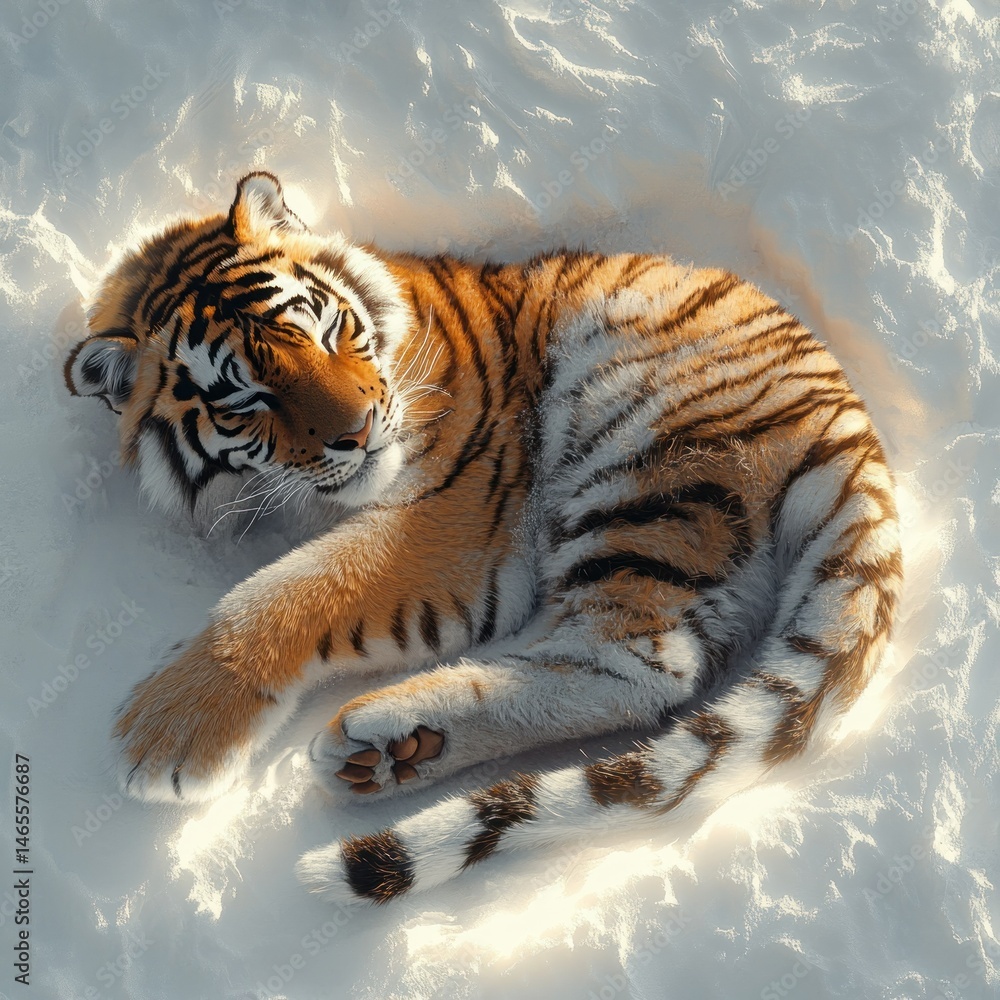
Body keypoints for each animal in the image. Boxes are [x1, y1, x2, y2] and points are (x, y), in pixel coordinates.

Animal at [64, 171, 902, 905]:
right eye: (243, 398)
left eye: (328, 331)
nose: (360, 429)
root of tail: (847, 418)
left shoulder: (451, 509)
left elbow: (290, 587)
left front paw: (166, 735)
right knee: (631, 668)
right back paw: (398, 753)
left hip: (641, 454)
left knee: (640, 666)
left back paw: (387, 735)